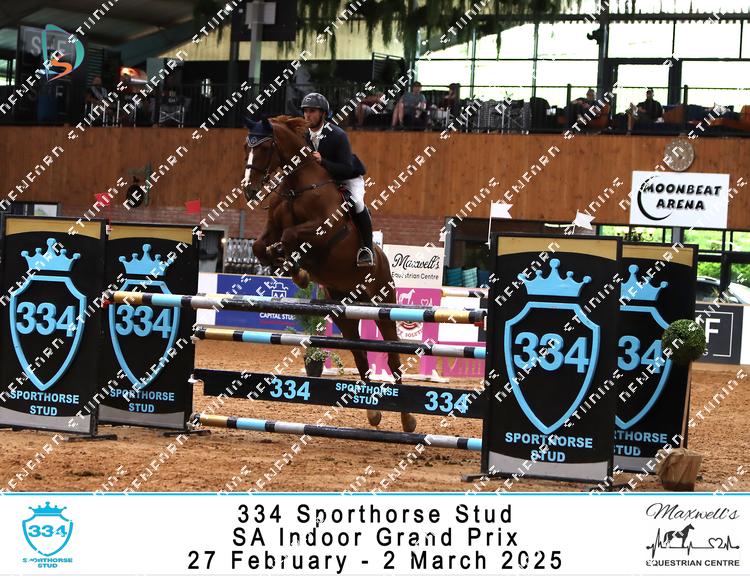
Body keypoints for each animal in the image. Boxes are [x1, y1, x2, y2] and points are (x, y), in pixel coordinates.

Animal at [241, 116, 417, 433]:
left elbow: (290, 236)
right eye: (246, 147)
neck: (297, 186)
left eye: (264, 147)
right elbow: (262, 245)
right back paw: (373, 413)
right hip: (344, 313)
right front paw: (289, 267)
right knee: (360, 355)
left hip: (383, 303)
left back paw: (407, 418)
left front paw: (295, 269)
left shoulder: (321, 230)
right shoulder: (272, 227)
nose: (249, 189)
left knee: (394, 357)